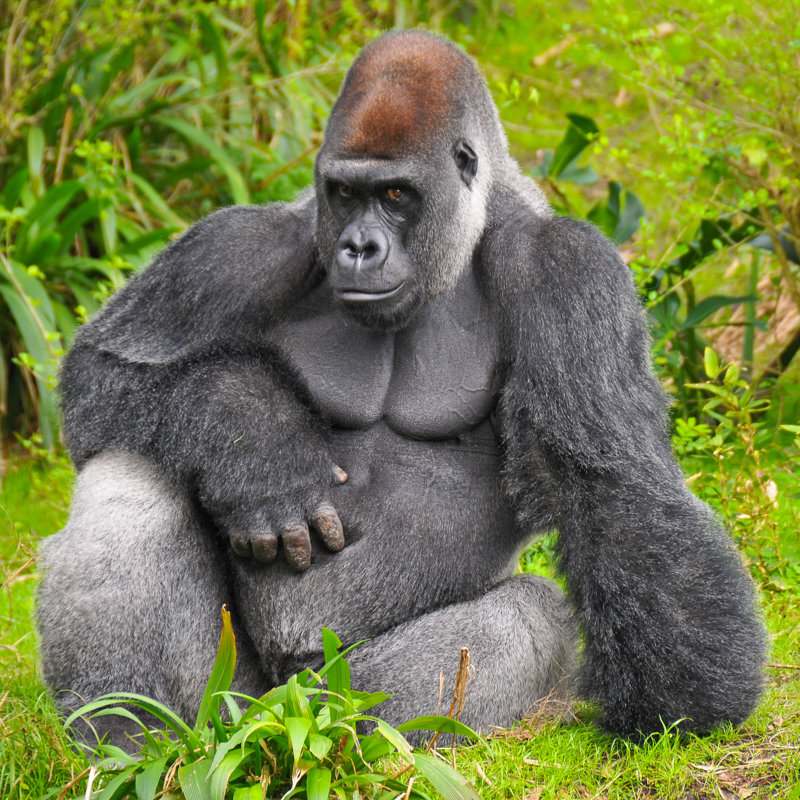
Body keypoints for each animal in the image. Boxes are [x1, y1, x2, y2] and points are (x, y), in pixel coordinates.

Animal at [37, 30, 766, 748]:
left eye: (394, 196)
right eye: (343, 193)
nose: (358, 247)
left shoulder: (568, 268)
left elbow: (610, 483)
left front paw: (684, 696)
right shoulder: (245, 244)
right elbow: (105, 370)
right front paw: (256, 445)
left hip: (315, 692)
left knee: (526, 618)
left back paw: (338, 733)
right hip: (226, 696)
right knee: (130, 471)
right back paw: (132, 735)